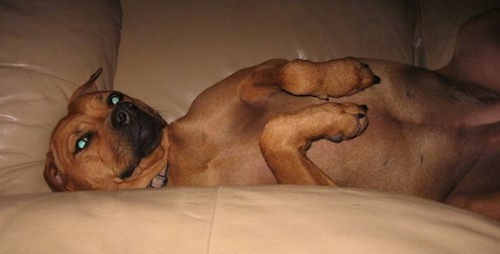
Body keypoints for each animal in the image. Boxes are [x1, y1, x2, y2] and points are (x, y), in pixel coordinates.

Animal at [45, 9, 498, 220]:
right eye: (82, 142)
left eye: (113, 98)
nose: (125, 113)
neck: (179, 161)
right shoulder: (323, 188)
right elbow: (273, 135)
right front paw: (338, 117)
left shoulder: (255, 77)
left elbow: (296, 74)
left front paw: (346, 78)